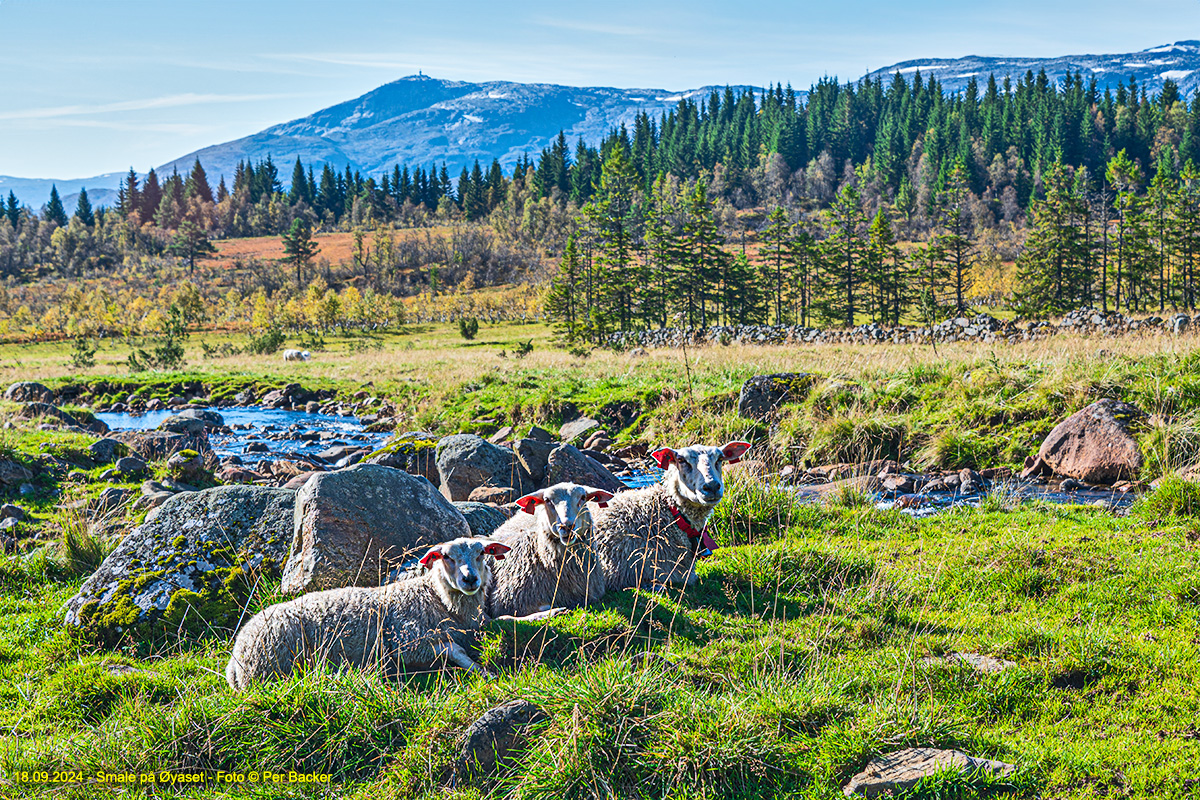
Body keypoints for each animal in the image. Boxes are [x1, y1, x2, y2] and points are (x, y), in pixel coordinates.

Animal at [225, 534, 511, 690]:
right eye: (447, 557)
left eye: (481, 553)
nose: (470, 579)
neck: (435, 597)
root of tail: (236, 658)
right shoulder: (409, 642)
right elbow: (456, 651)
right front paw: (485, 672)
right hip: (274, 669)